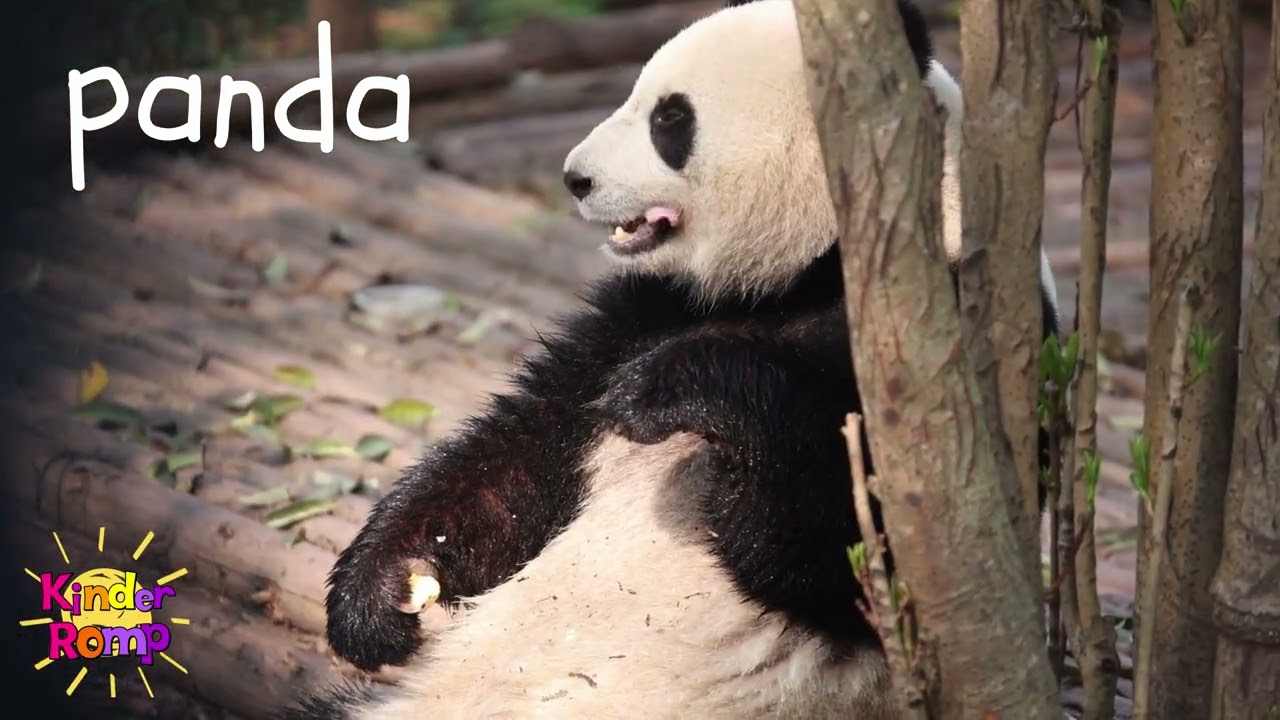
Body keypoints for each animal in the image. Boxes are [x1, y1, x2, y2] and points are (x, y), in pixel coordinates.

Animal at [282, 0, 1061, 718]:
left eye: (670, 121)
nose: (575, 178)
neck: (816, 264)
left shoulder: (939, 343)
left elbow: (858, 553)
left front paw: (670, 392)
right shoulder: (649, 310)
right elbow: (524, 455)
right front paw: (378, 596)